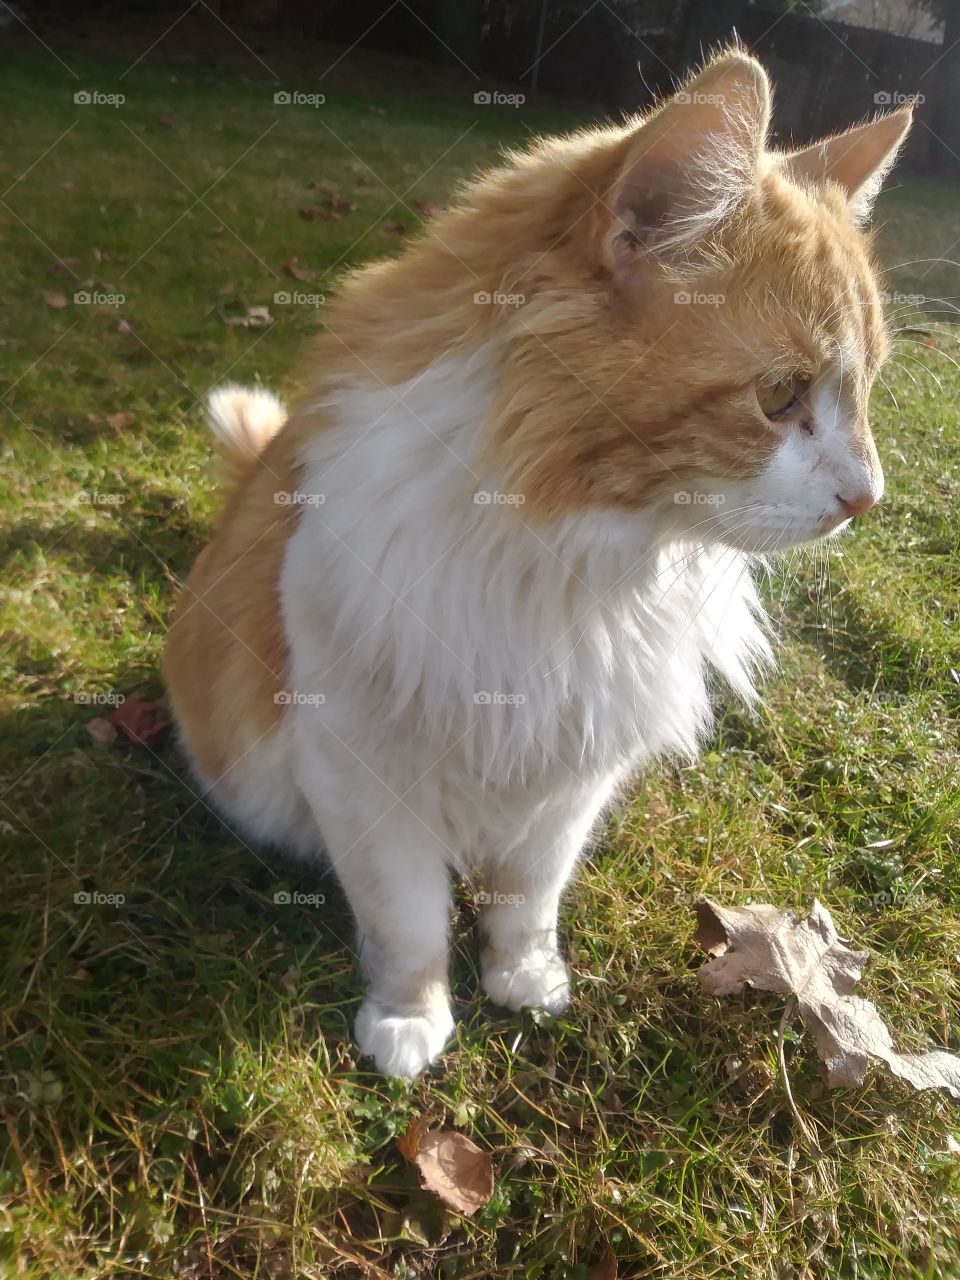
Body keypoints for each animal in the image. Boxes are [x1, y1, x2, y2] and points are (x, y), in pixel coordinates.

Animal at [167, 49, 916, 1075]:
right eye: (780, 395)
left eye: (869, 388)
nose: (866, 498)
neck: (569, 549)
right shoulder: (360, 770)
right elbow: (408, 920)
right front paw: (410, 1022)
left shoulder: (570, 780)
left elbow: (526, 901)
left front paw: (524, 982)